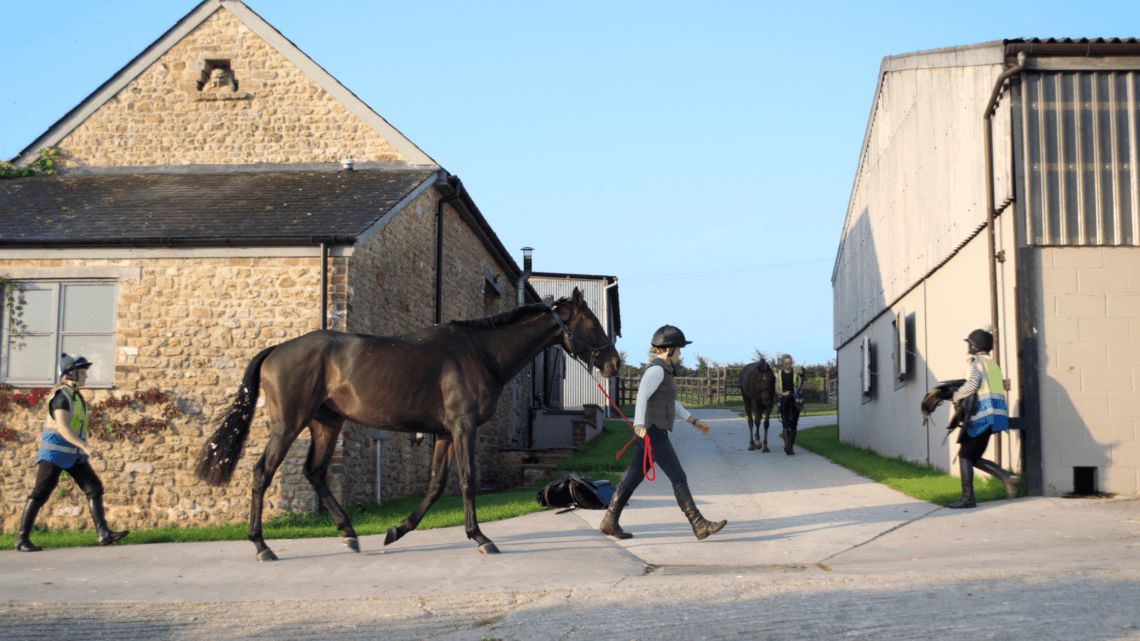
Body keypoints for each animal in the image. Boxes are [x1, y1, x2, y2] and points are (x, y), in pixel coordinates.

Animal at [197, 287, 624, 556]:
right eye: (592, 323)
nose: (614, 363)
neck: (480, 352)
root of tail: (275, 350)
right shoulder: (463, 427)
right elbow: (467, 481)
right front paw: (481, 537)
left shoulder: (445, 434)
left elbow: (435, 486)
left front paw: (396, 530)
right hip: (290, 423)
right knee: (262, 473)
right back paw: (262, 545)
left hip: (326, 423)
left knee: (315, 472)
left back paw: (349, 534)